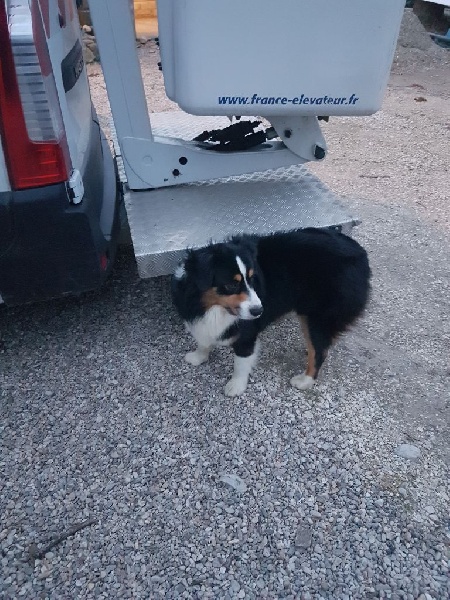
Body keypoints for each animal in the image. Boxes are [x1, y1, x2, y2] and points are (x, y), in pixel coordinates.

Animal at [171, 228, 371, 397]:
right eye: (231, 285)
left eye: (252, 279)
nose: (259, 311)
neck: (212, 306)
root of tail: (361, 252)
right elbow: (203, 341)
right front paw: (198, 357)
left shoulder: (247, 334)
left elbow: (241, 362)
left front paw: (236, 386)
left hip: (317, 317)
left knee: (320, 351)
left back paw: (305, 380)